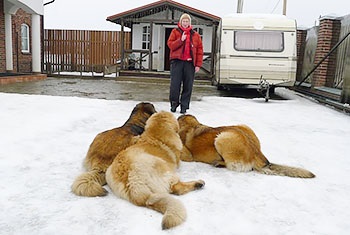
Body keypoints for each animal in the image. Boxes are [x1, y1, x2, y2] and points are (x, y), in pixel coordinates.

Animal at [178, 114, 314, 178]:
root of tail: (257, 153)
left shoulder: (187, 154)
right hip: (244, 126)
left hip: (222, 137)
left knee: (231, 165)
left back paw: (218, 163)